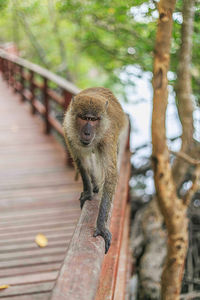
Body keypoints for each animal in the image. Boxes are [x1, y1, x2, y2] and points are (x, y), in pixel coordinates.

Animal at [63, 86, 127, 253]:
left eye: (93, 120)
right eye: (84, 118)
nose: (87, 132)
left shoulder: (108, 137)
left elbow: (110, 174)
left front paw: (101, 225)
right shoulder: (68, 130)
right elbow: (81, 162)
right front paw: (88, 191)